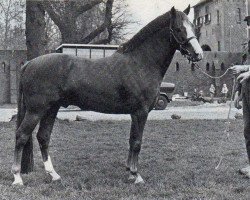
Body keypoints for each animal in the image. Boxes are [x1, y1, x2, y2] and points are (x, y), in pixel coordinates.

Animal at [12, 5, 203, 186]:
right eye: (178, 29)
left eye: (192, 26)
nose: (198, 54)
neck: (140, 64)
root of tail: (29, 64)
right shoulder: (140, 112)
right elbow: (137, 142)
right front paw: (136, 175)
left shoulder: (134, 114)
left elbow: (131, 140)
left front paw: (130, 172)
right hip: (36, 110)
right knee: (21, 135)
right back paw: (17, 178)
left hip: (51, 109)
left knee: (43, 137)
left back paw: (54, 175)